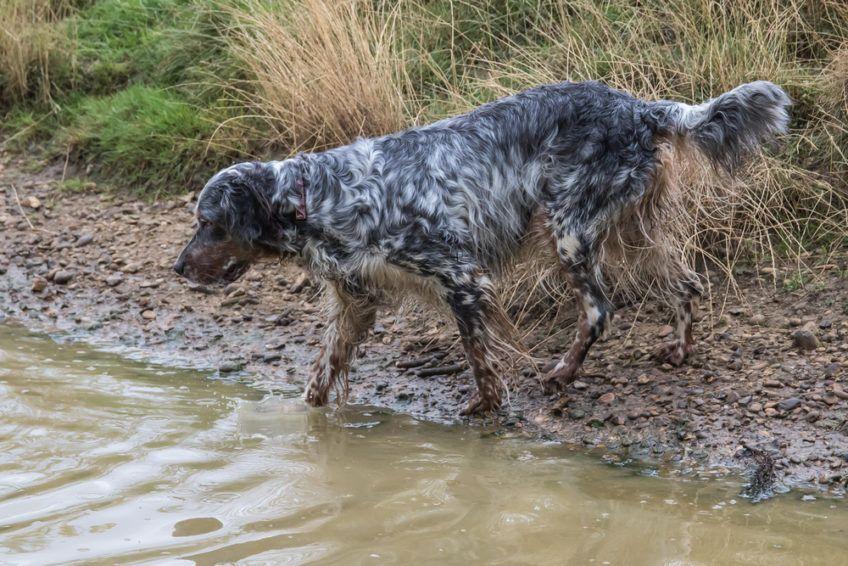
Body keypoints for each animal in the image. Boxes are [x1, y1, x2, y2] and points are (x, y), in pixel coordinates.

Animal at [176, 80, 792, 418]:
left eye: (208, 223)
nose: (178, 267)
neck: (320, 197)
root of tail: (640, 108)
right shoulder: (357, 301)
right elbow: (323, 371)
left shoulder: (460, 277)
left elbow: (479, 357)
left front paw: (486, 405)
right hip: (629, 232)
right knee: (686, 282)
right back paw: (679, 349)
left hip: (570, 231)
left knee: (598, 310)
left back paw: (562, 373)